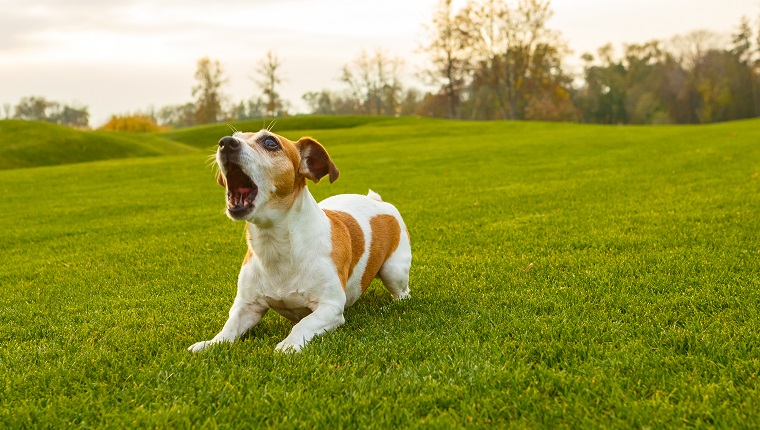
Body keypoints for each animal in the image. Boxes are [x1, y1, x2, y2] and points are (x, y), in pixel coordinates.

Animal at [189, 130, 412, 352]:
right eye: (235, 135)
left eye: (270, 142)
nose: (226, 143)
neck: (276, 246)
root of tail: (377, 200)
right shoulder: (247, 307)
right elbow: (229, 328)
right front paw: (211, 344)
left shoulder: (330, 307)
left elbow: (303, 324)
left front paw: (288, 345)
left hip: (393, 271)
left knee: (403, 293)